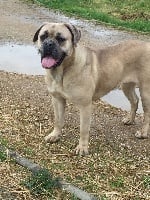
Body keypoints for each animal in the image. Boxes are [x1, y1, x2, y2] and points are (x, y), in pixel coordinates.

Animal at [33, 23, 150, 155]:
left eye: (61, 39)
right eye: (43, 36)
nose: (48, 43)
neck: (63, 70)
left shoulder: (85, 106)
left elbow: (83, 128)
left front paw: (82, 148)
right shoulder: (57, 99)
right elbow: (58, 120)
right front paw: (55, 135)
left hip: (145, 91)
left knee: (147, 113)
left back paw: (143, 133)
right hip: (126, 85)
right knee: (134, 100)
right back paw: (130, 119)